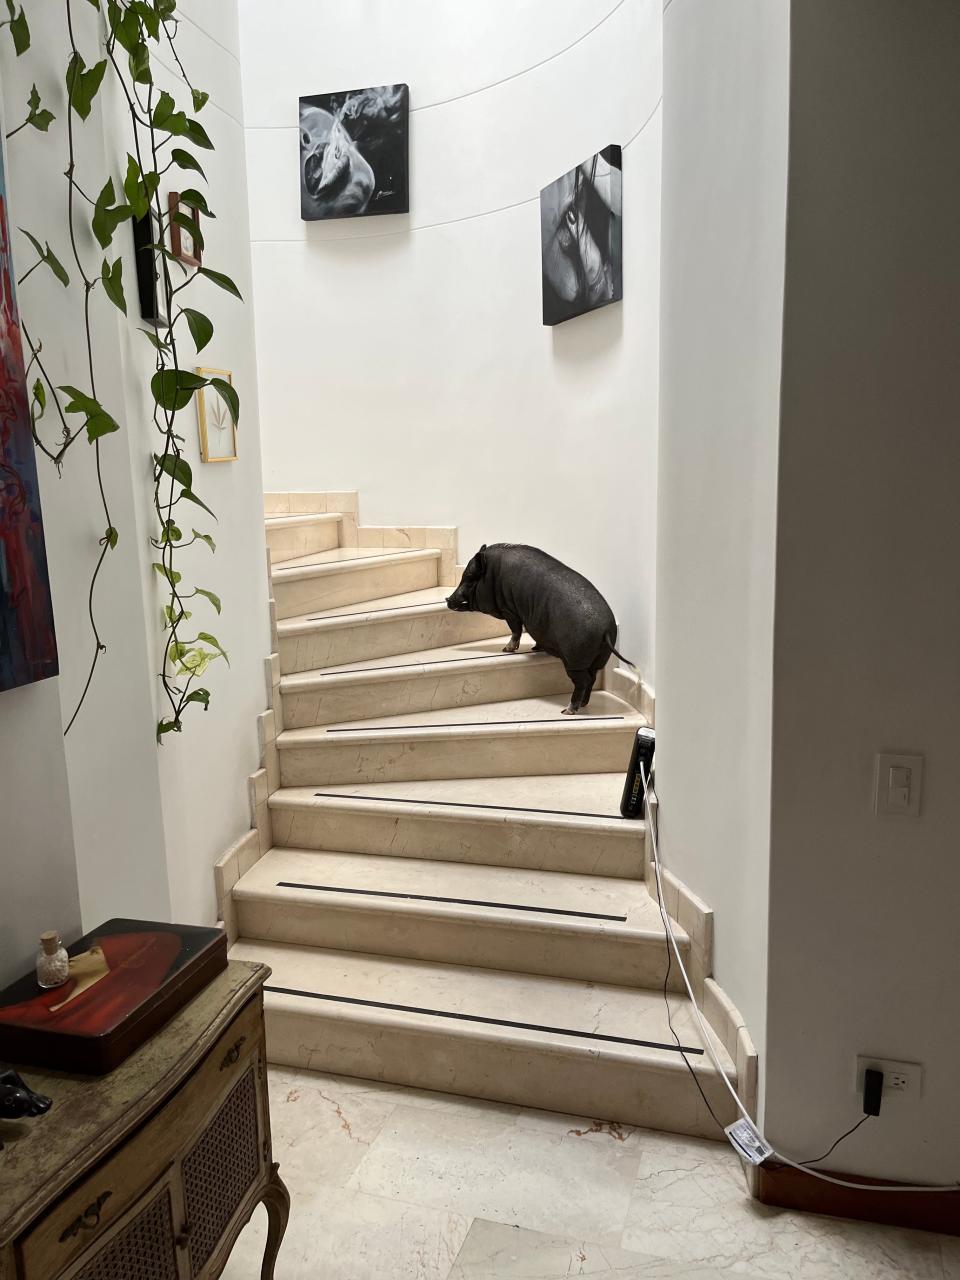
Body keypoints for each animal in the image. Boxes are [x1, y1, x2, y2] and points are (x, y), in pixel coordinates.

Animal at [450, 545, 634, 716]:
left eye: (469, 577)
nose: (448, 599)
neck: (493, 576)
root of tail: (606, 631)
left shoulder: (510, 610)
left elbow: (515, 629)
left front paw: (506, 650)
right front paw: (534, 648)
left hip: (574, 660)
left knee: (583, 681)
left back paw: (567, 711)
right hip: (598, 660)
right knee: (592, 677)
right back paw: (582, 705)